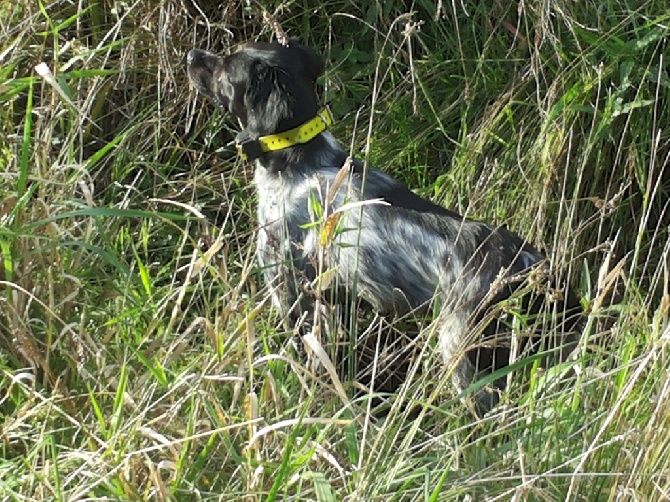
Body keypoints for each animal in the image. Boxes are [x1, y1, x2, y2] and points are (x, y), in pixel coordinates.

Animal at [185, 40, 584, 416]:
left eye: (225, 66)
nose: (191, 55)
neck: (298, 160)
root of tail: (534, 270)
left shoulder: (292, 292)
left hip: (463, 351)